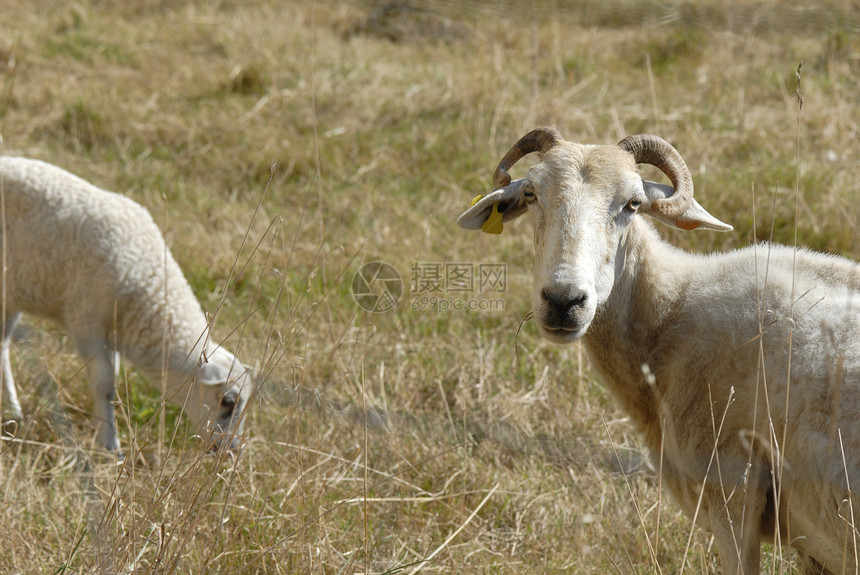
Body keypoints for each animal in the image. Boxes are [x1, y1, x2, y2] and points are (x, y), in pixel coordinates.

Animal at [0, 155, 252, 452]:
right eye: (227, 402)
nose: (230, 450)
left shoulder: (112, 330)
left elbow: (113, 383)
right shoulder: (86, 321)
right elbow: (104, 384)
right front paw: (110, 444)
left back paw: (13, 410)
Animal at [460, 128, 860, 572]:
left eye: (633, 203)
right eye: (531, 193)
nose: (563, 301)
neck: (672, 311)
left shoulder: (732, 490)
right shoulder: (813, 543)